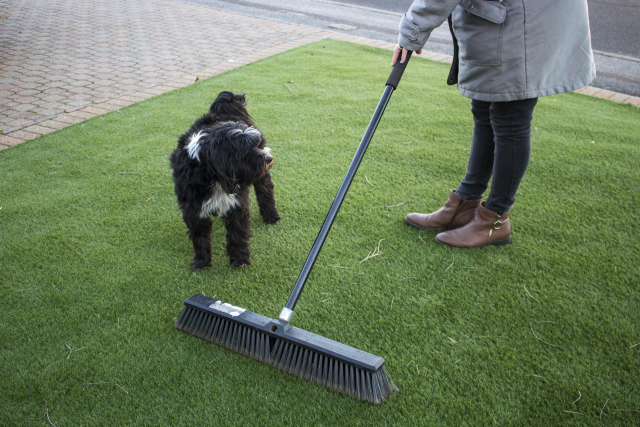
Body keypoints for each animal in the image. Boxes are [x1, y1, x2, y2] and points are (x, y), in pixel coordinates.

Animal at [170, 91, 280, 270]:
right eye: (246, 151)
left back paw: (271, 216)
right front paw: (201, 262)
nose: (268, 158)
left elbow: (237, 234)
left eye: (256, 145)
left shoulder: (236, 204)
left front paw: (240, 260)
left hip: (261, 177)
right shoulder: (193, 208)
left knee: (265, 192)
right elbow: (199, 237)